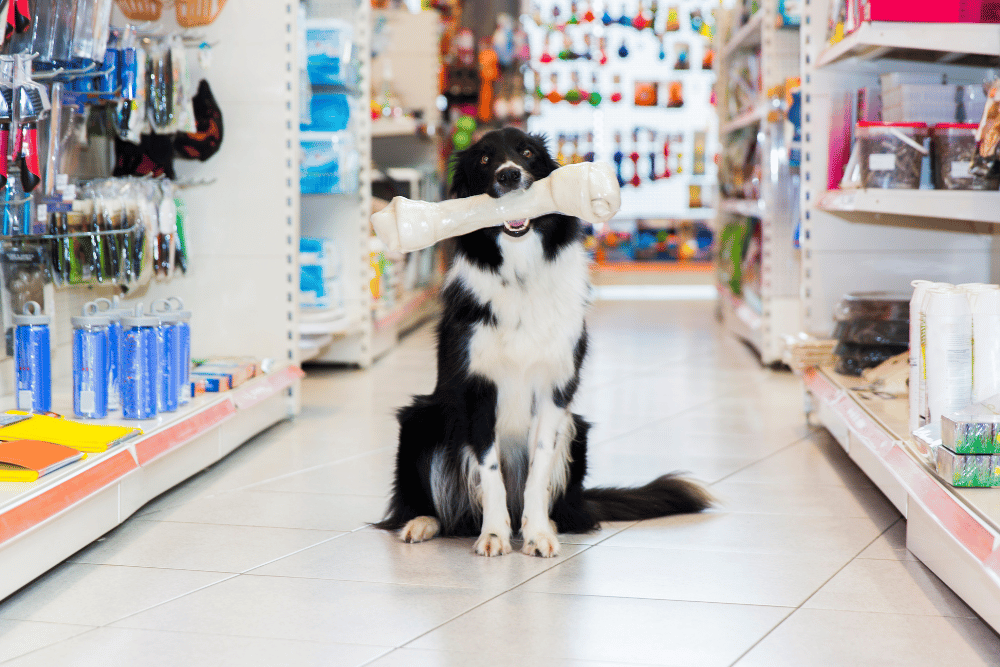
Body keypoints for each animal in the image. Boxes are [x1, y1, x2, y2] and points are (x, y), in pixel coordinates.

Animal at [376, 128, 712, 556]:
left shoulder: (555, 390)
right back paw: (422, 522)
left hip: (577, 430)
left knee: (568, 510)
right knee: (431, 504)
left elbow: (538, 469)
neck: (520, 272)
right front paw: (494, 534)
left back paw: (551, 521)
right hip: (422, 417)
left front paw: (536, 533)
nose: (509, 175)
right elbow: (490, 472)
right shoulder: (478, 390)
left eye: (527, 152)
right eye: (484, 160)